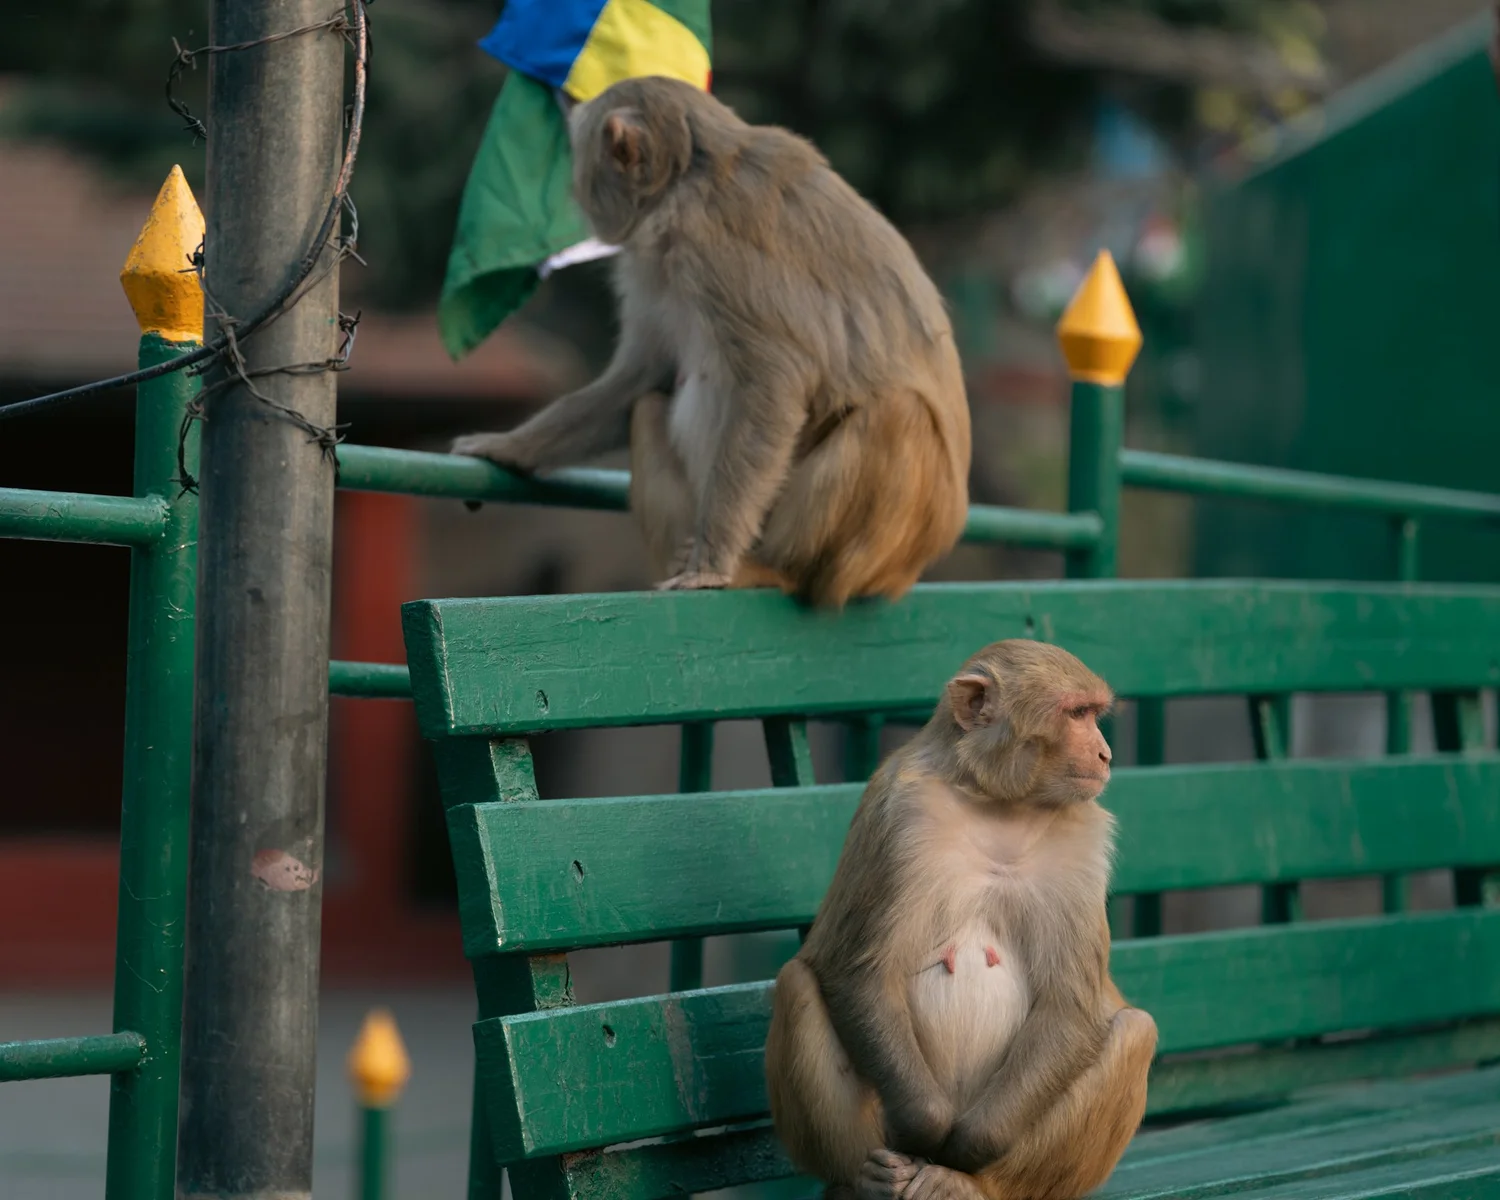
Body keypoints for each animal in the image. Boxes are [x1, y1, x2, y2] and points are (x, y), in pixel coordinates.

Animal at [450, 76, 971, 607]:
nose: (575, 193)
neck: (686, 182)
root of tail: (909, 567)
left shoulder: (712, 252)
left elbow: (774, 383)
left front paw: (710, 564)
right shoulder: (656, 270)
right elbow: (641, 377)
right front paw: (509, 447)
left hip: (874, 553)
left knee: (898, 414)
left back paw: (774, 571)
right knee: (647, 408)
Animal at [764, 639, 1157, 1200]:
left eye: (1092, 714)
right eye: (1076, 713)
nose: (1104, 754)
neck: (1000, 803)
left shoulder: (1084, 841)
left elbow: (1068, 1006)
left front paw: (964, 1150)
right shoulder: (900, 813)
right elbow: (863, 973)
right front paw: (925, 1129)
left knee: (1134, 1032)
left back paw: (972, 1184)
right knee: (798, 983)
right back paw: (863, 1179)